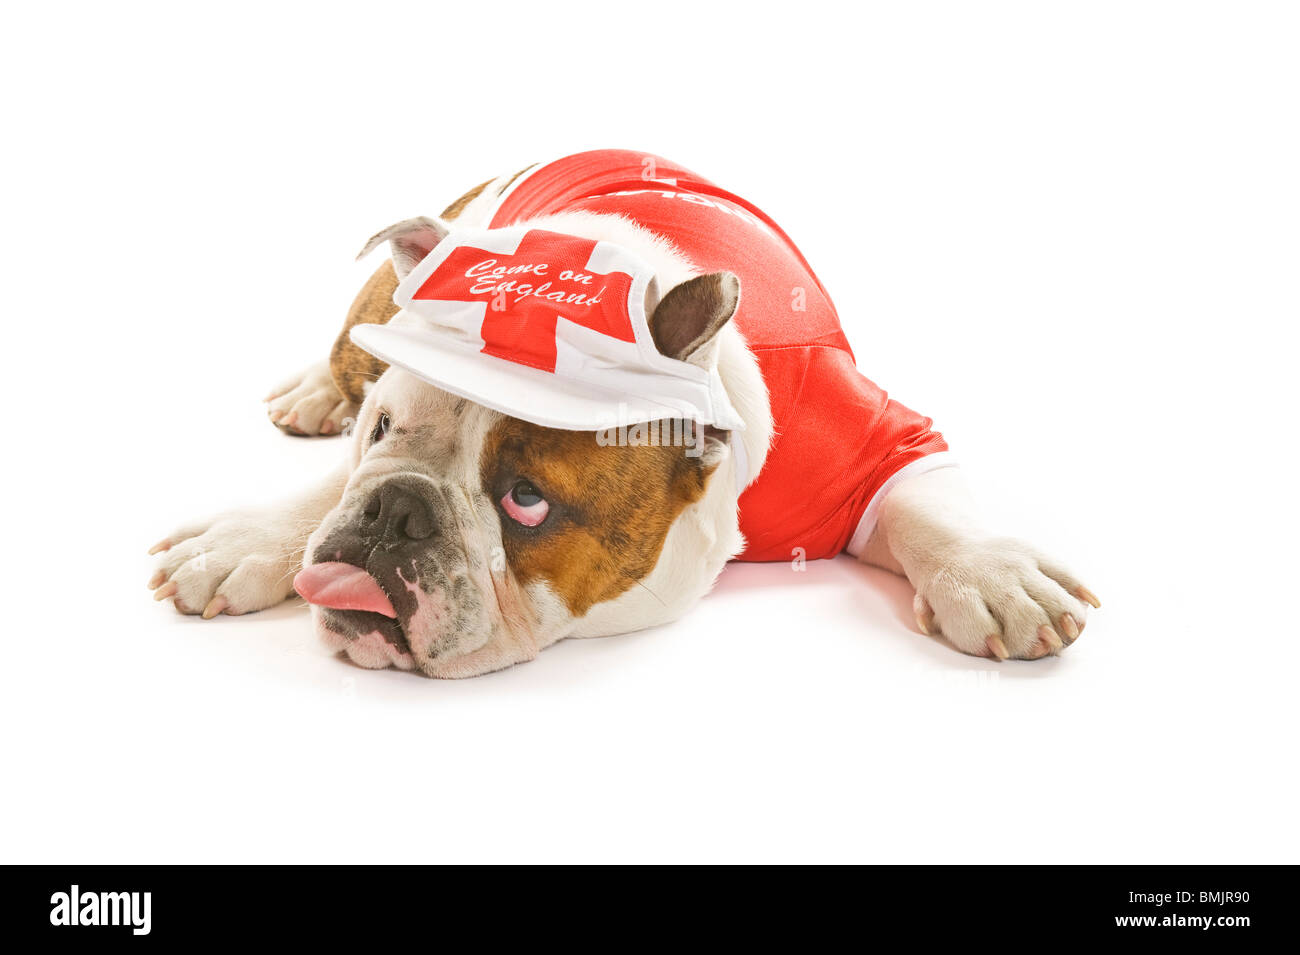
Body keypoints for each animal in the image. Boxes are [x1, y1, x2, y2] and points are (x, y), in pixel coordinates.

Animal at [149, 149, 1097, 675]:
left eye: (527, 499)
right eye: (384, 429)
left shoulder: (866, 440)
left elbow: (924, 503)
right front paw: (249, 538)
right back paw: (314, 390)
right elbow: (324, 491)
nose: (394, 509)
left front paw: (990, 572)